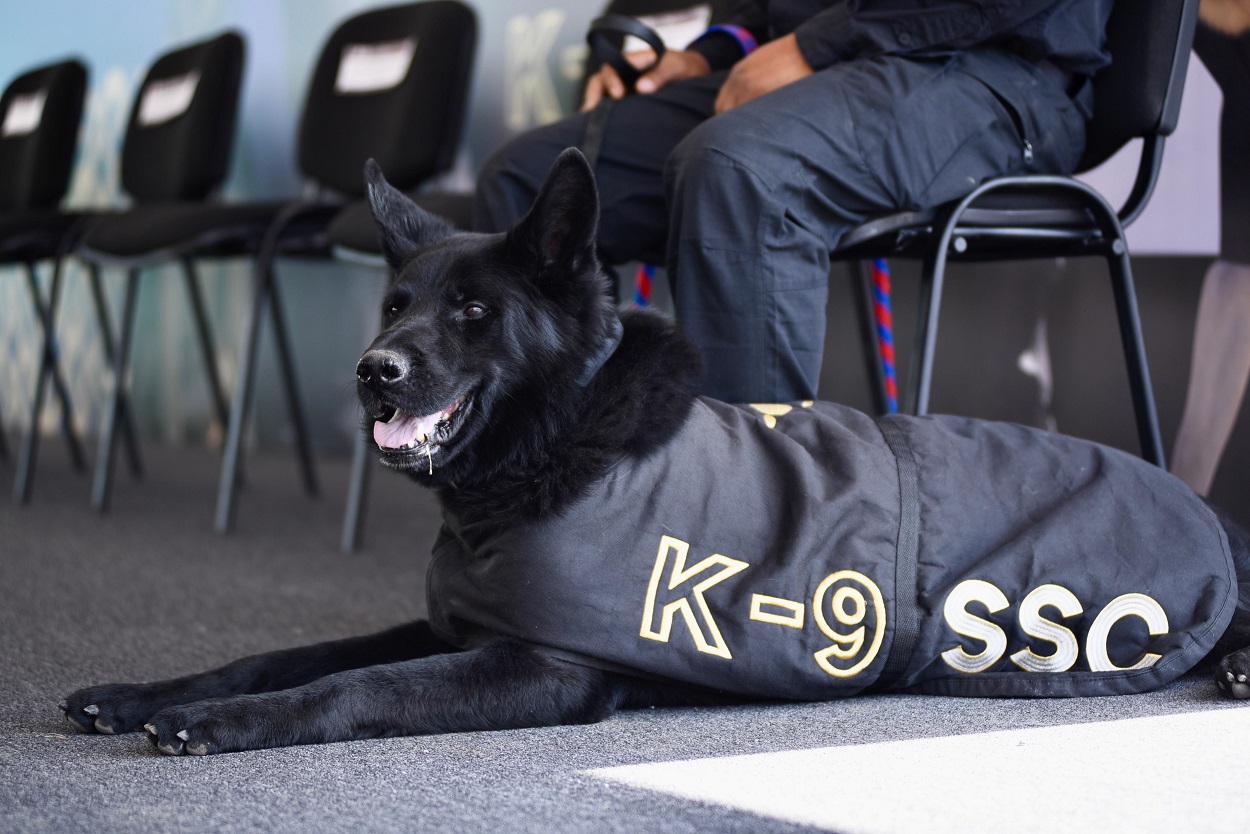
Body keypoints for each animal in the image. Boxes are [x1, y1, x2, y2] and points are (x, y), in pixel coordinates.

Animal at [60, 150, 1250, 755]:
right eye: (397, 304)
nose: (372, 372)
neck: (553, 446)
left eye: (473, 313)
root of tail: (1197, 502)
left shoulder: (539, 666)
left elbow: (348, 690)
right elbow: (291, 656)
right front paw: (149, 692)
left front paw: (210, 723)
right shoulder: (460, 624)